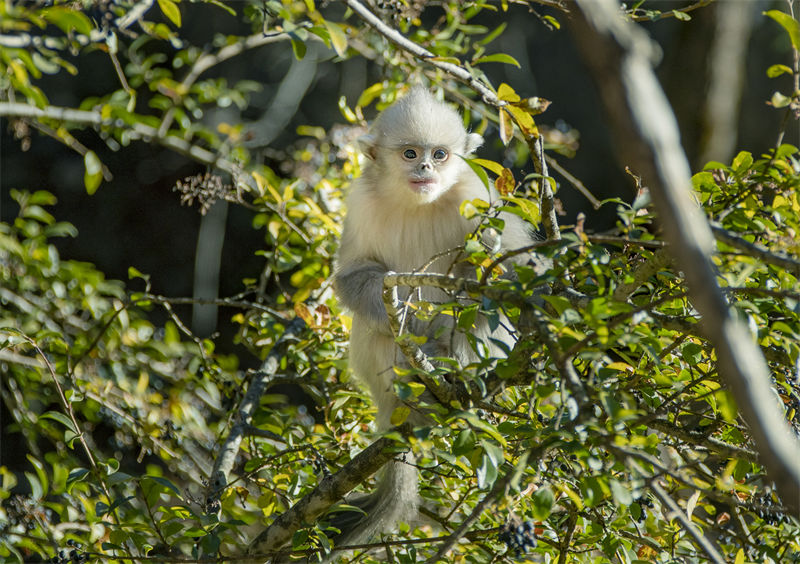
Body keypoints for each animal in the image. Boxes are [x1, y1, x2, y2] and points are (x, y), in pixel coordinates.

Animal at [330, 86, 544, 548]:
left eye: (440, 154)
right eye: (411, 153)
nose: (426, 167)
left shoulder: (480, 197)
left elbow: (512, 270)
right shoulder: (361, 203)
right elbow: (353, 277)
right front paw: (410, 323)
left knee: (477, 305)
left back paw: (455, 377)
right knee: (376, 329)